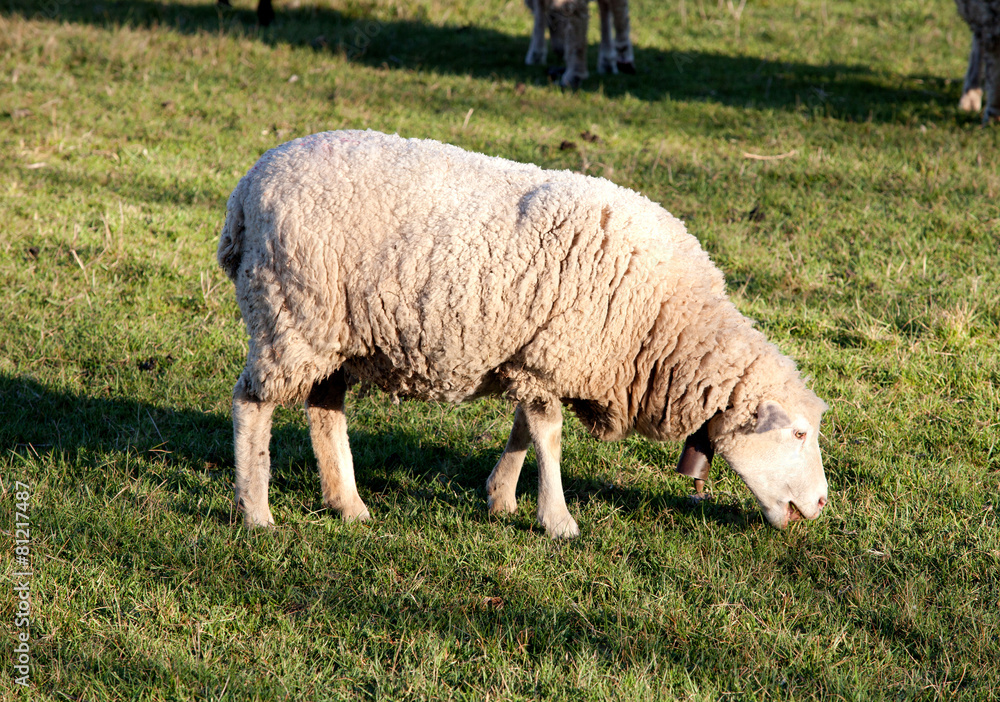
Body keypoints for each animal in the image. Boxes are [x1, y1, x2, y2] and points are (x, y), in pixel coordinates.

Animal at [218, 130, 830, 538]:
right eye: (799, 434)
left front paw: (502, 499)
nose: (822, 505)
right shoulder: (550, 354)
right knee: (251, 402)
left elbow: (522, 429)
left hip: (330, 331)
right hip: (288, 314)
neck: (666, 322)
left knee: (324, 409)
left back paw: (347, 504)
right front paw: (557, 520)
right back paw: (256, 512)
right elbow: (549, 436)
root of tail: (246, 190)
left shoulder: (533, 356)